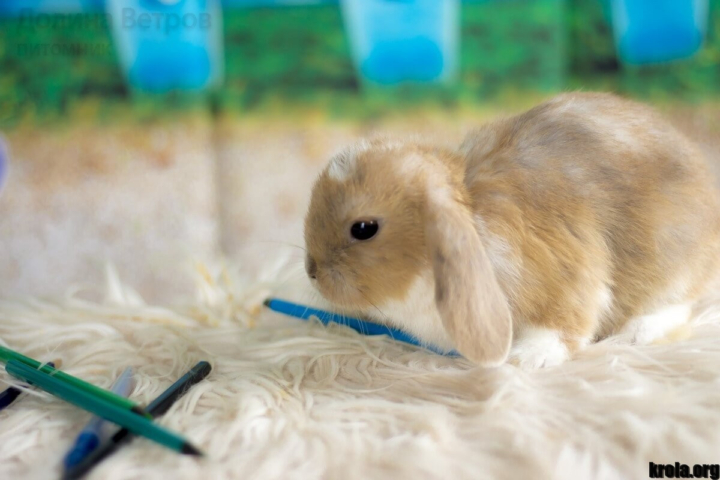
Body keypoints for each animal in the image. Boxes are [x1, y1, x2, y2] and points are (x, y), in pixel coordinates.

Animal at [303, 92, 720, 368]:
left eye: (363, 228)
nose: (311, 271)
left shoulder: (567, 278)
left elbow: (563, 324)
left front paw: (527, 357)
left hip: (671, 260)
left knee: (675, 303)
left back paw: (637, 332)